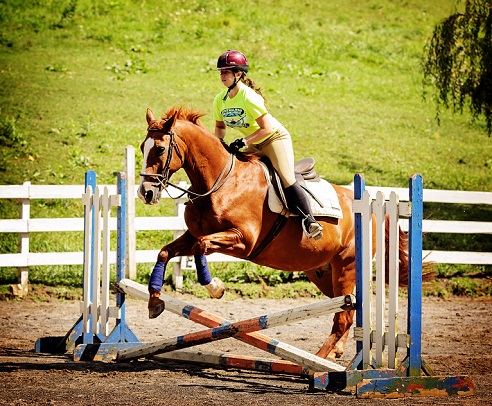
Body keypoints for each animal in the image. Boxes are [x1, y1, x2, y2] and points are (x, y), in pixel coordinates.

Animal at [136, 106, 410, 360]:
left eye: (159, 149)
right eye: (141, 147)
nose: (146, 192)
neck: (219, 182)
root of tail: (371, 207)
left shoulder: (243, 240)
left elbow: (200, 247)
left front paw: (215, 287)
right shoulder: (194, 234)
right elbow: (165, 252)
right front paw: (155, 302)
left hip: (347, 266)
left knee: (343, 316)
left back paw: (319, 362)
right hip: (323, 272)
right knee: (348, 307)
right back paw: (336, 352)